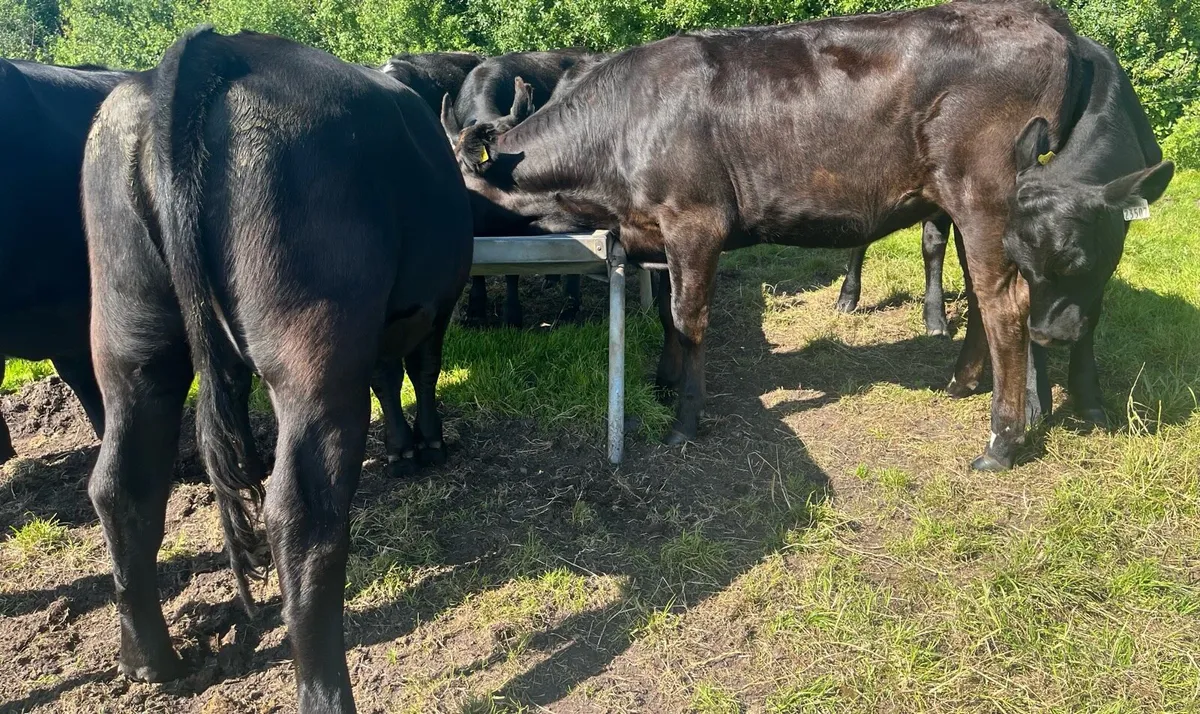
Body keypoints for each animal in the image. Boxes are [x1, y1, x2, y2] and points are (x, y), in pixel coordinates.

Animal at [82, 26, 472, 713]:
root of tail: (220, 49)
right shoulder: (436, 302)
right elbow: (420, 371)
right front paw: (426, 444)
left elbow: (388, 376)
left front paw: (403, 449)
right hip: (314, 355)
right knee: (302, 514)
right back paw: (325, 693)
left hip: (130, 337)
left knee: (122, 483)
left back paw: (151, 661)